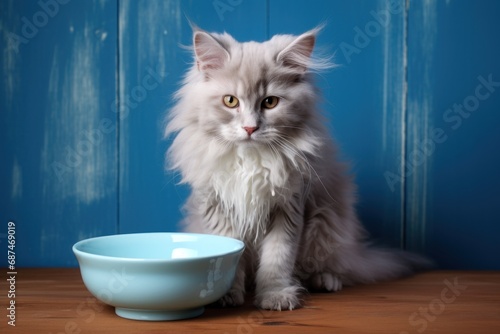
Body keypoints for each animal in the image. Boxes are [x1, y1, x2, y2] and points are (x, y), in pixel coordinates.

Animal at [165, 26, 430, 310]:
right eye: (230, 101)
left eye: (270, 102)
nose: (250, 128)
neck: (251, 159)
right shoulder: (217, 205)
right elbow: (229, 257)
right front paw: (226, 295)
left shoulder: (288, 206)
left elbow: (277, 259)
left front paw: (276, 296)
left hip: (326, 224)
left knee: (329, 267)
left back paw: (325, 281)